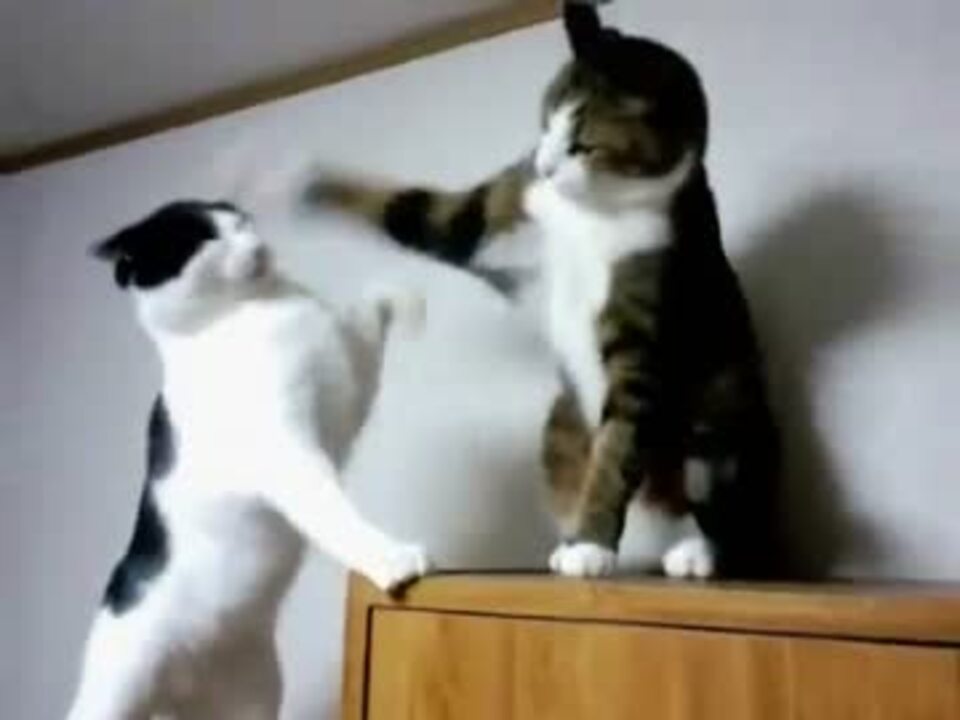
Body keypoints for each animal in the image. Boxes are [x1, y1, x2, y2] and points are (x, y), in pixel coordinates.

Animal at [67, 200, 431, 720]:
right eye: (205, 238)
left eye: (241, 223)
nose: (255, 244)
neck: (261, 308)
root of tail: (182, 689)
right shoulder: (292, 457)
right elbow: (336, 516)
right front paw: (391, 557)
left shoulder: (347, 396)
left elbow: (371, 300)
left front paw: (408, 297)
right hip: (116, 692)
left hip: (254, 699)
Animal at [305, 0, 780, 580]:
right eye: (547, 122)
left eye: (583, 143)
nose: (545, 164)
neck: (593, 212)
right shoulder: (506, 213)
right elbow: (424, 213)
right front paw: (294, 179)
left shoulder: (645, 324)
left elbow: (618, 450)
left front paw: (593, 545)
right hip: (562, 421)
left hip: (721, 417)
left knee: (699, 493)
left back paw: (689, 551)